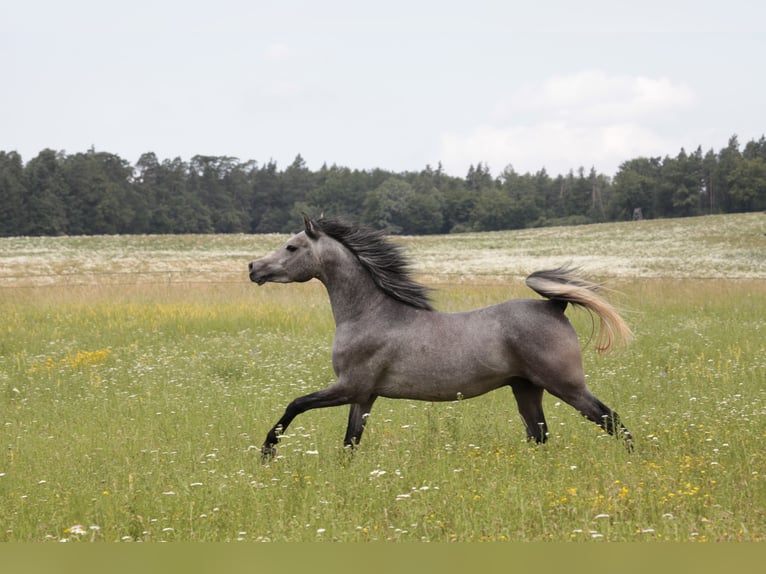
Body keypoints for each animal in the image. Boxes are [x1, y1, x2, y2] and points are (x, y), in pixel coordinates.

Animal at [249, 216, 632, 460]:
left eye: (292, 247)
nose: (253, 268)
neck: (369, 314)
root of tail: (555, 305)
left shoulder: (349, 387)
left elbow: (295, 404)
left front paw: (267, 452)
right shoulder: (364, 396)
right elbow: (350, 442)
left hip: (566, 386)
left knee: (610, 420)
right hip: (526, 389)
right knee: (539, 435)